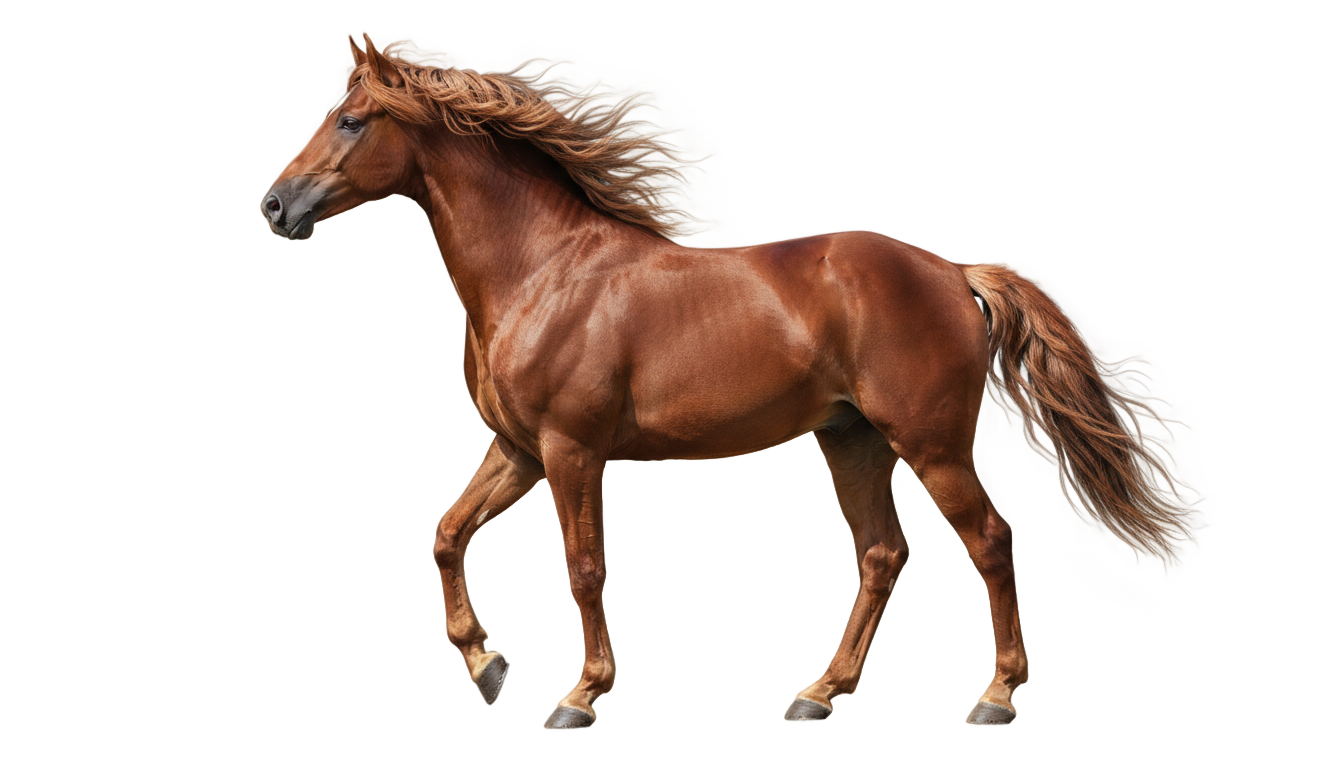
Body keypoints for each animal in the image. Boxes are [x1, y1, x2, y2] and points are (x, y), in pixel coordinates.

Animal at [261, 35, 1188, 731]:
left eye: (351, 120)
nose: (276, 205)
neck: (543, 272)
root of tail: (953, 272)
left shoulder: (569, 451)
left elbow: (583, 567)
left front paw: (582, 698)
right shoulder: (518, 453)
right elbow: (448, 537)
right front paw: (489, 666)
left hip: (931, 449)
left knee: (990, 543)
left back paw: (997, 698)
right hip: (852, 443)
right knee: (882, 555)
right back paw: (822, 697)